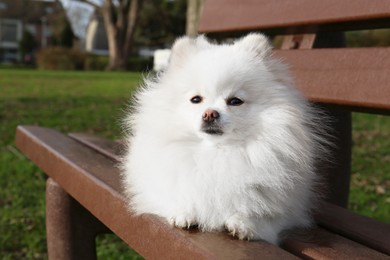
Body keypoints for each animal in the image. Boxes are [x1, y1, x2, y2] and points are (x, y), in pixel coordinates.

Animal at [120, 33, 328, 245]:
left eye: (235, 101)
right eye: (196, 99)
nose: (210, 113)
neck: (217, 152)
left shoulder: (284, 210)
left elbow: (261, 213)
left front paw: (243, 224)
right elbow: (176, 193)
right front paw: (183, 213)